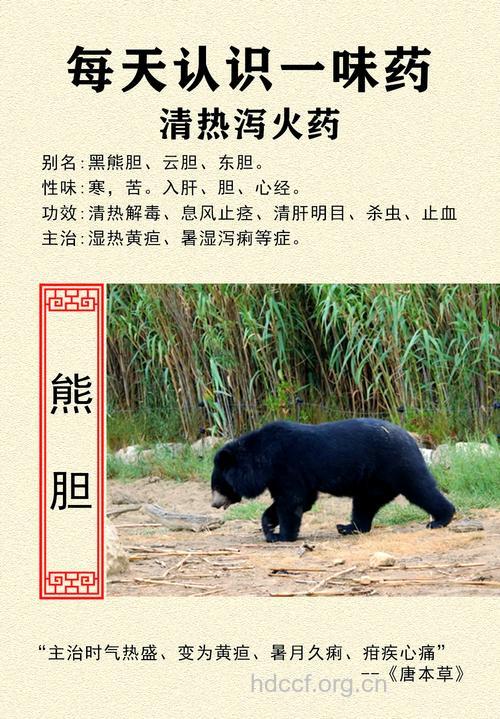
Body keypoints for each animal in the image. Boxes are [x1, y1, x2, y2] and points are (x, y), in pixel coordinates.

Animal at [210, 418, 455, 542]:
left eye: (218, 486)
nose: (214, 504)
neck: (263, 458)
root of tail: (410, 438)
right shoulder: (280, 476)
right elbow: (299, 500)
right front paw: (269, 526)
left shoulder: (288, 467)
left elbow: (292, 502)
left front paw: (281, 536)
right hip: (374, 480)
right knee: (365, 504)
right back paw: (348, 527)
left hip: (396, 464)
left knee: (420, 489)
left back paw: (440, 519)